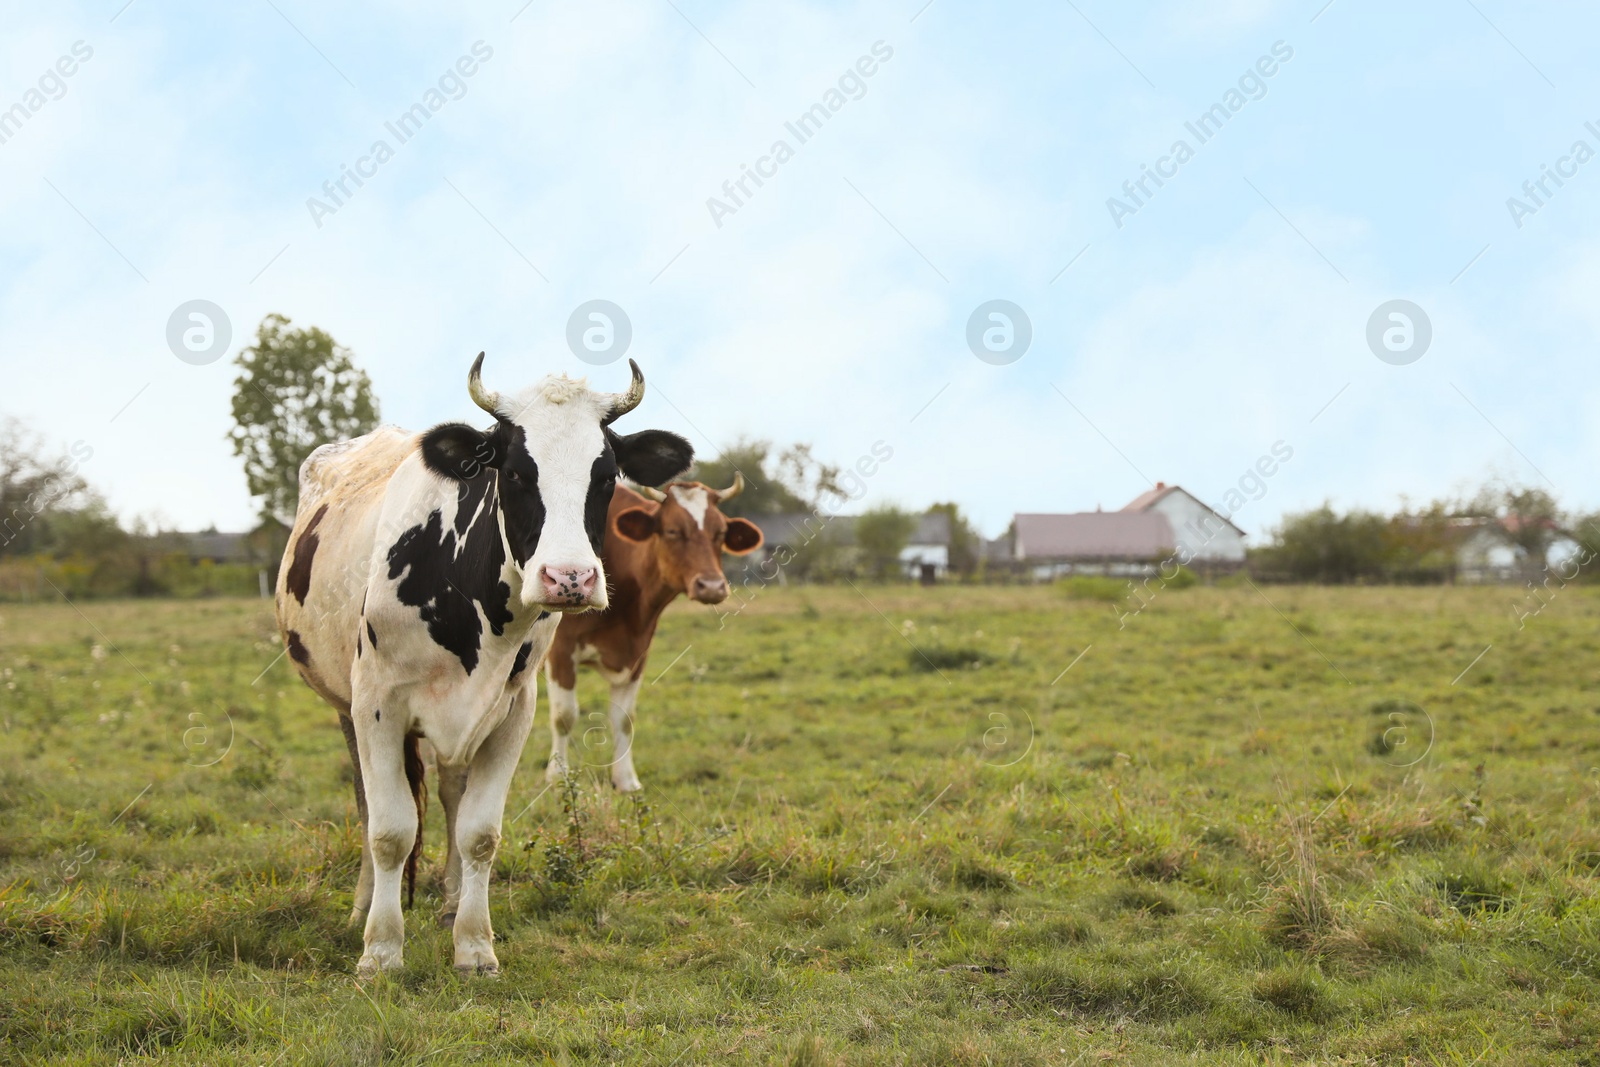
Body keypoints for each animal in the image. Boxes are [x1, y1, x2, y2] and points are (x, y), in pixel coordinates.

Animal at [278, 358, 691, 979]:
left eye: (606, 476)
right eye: (516, 472)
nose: (569, 578)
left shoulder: (513, 710)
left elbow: (478, 832)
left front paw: (474, 945)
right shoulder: (376, 705)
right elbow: (389, 829)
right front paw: (381, 951)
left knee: (451, 793)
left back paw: (450, 902)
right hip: (344, 705)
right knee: (366, 801)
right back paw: (361, 908)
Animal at [547, 476, 764, 793]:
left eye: (721, 532)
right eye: (673, 530)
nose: (712, 586)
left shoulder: (637, 653)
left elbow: (624, 718)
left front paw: (626, 780)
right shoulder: (560, 650)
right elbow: (564, 715)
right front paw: (558, 777)